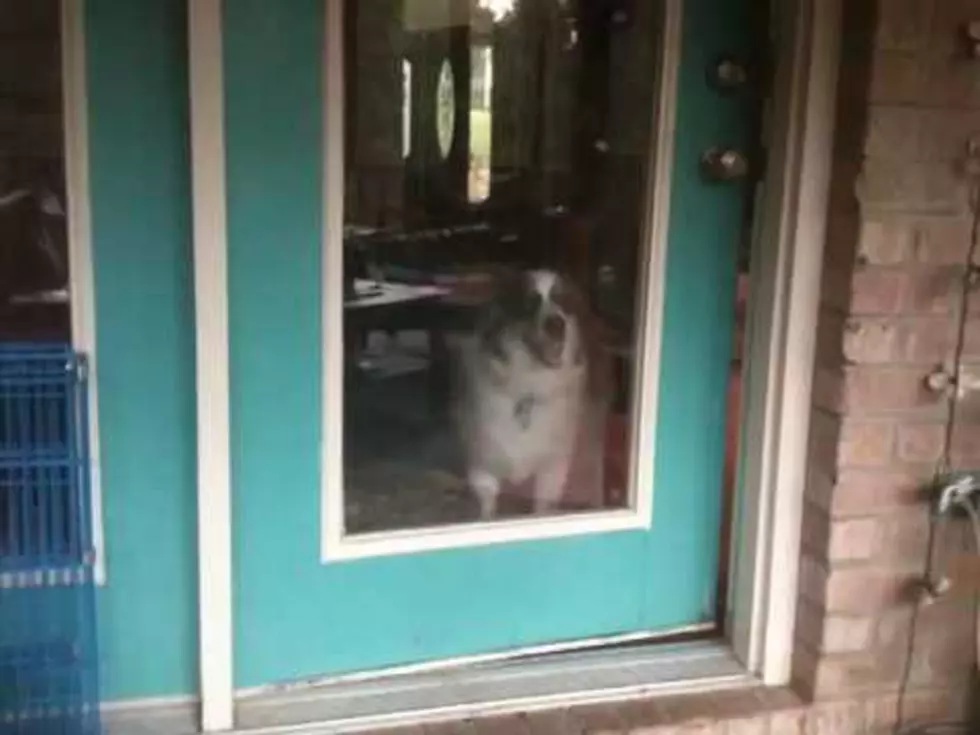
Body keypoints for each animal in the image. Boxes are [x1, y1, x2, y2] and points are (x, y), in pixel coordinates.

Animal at [456, 268, 608, 516]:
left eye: (563, 300)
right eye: (530, 303)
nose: (556, 324)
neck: (530, 385)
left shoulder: (552, 468)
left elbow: (542, 508)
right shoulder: (483, 464)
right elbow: (488, 509)